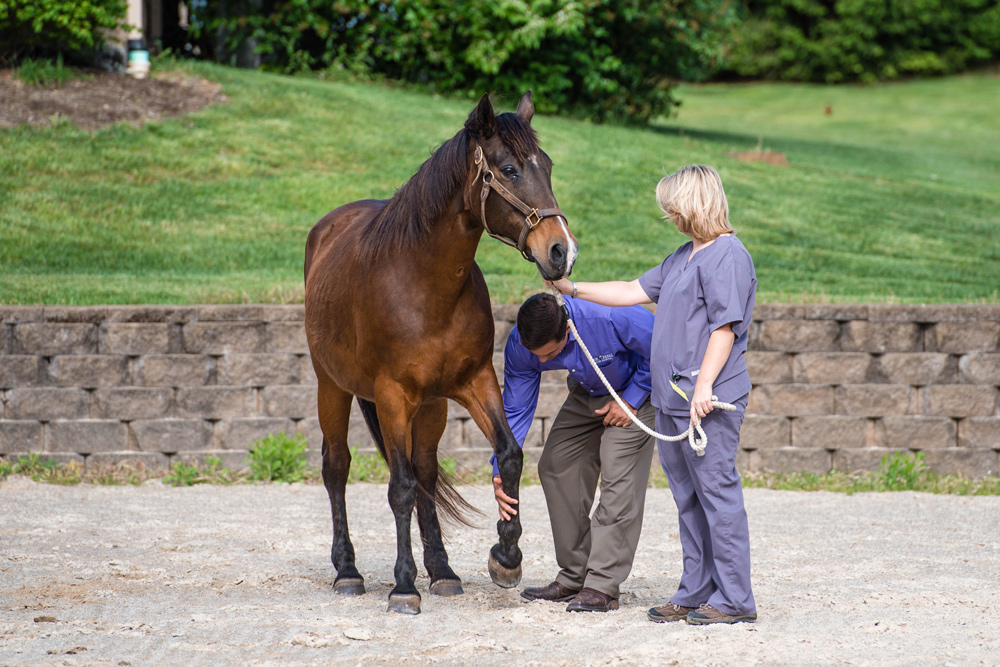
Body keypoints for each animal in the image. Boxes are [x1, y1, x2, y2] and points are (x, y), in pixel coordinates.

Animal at [303, 91, 578, 614]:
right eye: (509, 169)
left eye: (550, 166)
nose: (562, 252)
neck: (423, 284)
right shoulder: (391, 396)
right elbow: (400, 488)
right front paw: (403, 585)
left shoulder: (473, 381)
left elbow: (508, 455)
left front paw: (505, 557)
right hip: (333, 387)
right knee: (338, 467)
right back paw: (347, 570)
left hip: (430, 406)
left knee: (427, 470)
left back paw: (443, 571)